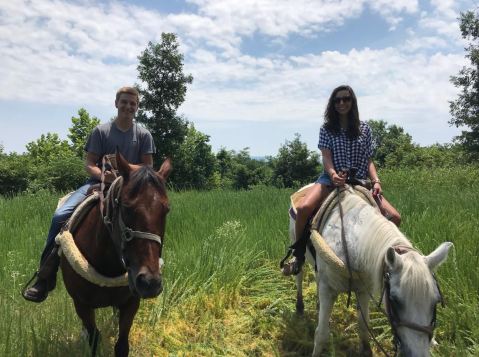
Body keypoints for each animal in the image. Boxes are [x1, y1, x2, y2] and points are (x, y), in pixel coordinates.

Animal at [60, 150, 172, 356]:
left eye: (166, 210)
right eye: (126, 208)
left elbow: (122, 345)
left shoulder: (131, 303)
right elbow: (93, 340)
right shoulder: (82, 306)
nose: (150, 282)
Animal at [292, 186, 454, 356]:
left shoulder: (364, 289)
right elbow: (321, 334)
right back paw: (300, 308)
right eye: (394, 300)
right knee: (299, 275)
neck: (348, 241)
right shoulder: (327, 289)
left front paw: (366, 350)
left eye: (436, 301)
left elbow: (363, 324)